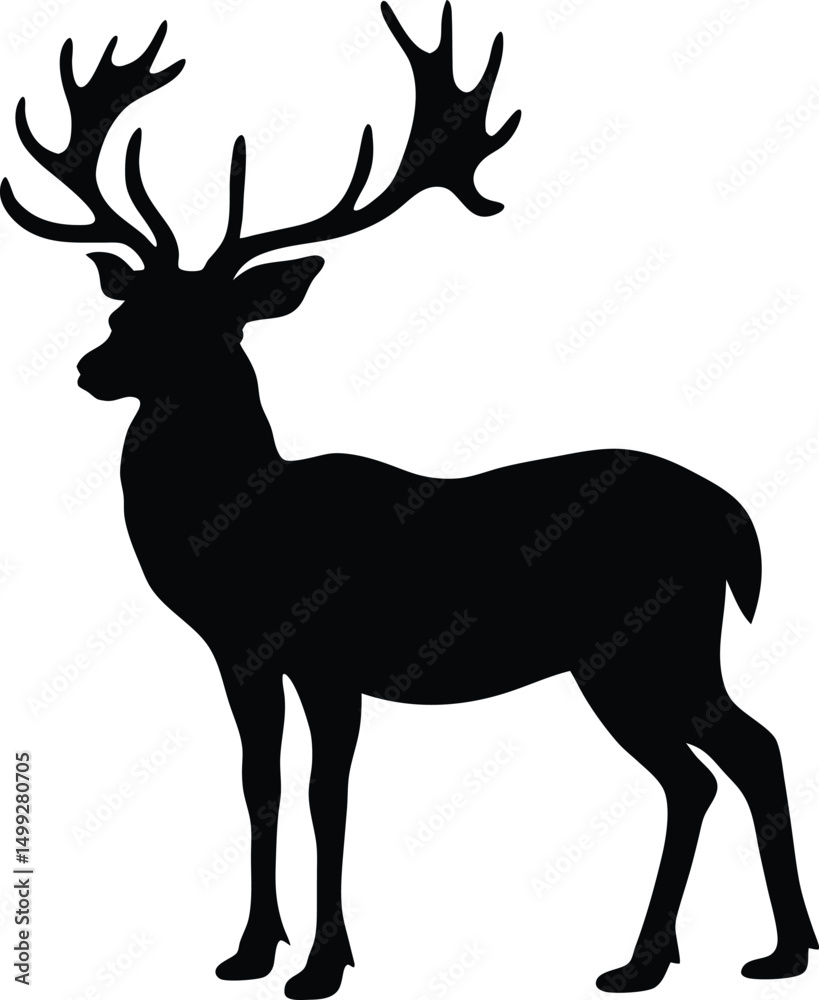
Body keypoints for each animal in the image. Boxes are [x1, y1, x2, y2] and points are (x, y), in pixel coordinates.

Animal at [2, 7, 816, 998]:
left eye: (207, 323)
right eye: (127, 311)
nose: (90, 368)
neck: (242, 531)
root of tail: (738, 521)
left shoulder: (329, 656)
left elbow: (328, 795)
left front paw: (321, 964)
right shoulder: (242, 657)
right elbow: (259, 785)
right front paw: (249, 951)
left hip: (646, 643)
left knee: (734, 756)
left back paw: (749, 952)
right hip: (649, 654)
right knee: (712, 768)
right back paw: (688, 956)